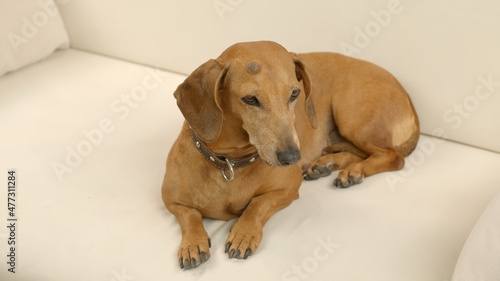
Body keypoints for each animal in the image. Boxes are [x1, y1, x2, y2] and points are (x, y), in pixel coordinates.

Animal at [162, 40, 420, 268]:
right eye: (250, 99)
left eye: (295, 94)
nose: (292, 158)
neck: (230, 163)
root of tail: (408, 98)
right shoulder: (169, 200)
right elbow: (190, 215)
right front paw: (192, 243)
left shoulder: (288, 187)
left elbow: (257, 204)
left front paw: (244, 232)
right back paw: (328, 165)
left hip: (352, 117)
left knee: (393, 157)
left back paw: (354, 171)